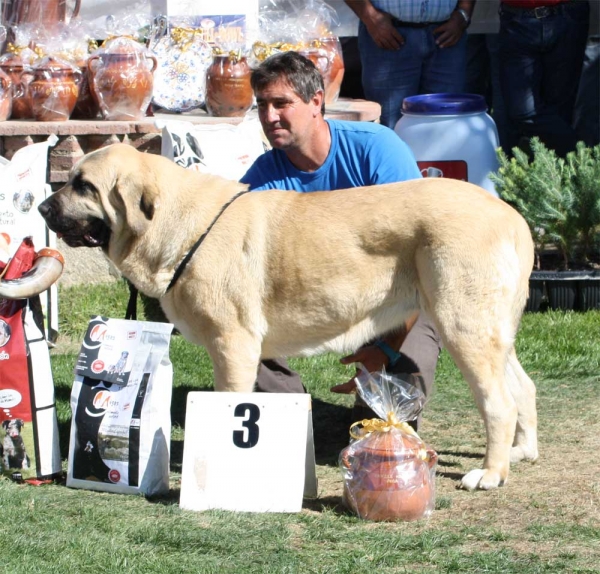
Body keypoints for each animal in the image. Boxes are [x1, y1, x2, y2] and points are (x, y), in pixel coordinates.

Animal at [41, 144, 540, 490]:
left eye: (83, 185)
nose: (42, 207)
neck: (179, 224)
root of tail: (513, 217)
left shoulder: (233, 345)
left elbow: (231, 404)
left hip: (462, 326)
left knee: (499, 402)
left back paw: (490, 474)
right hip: (492, 333)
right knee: (523, 388)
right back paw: (522, 452)